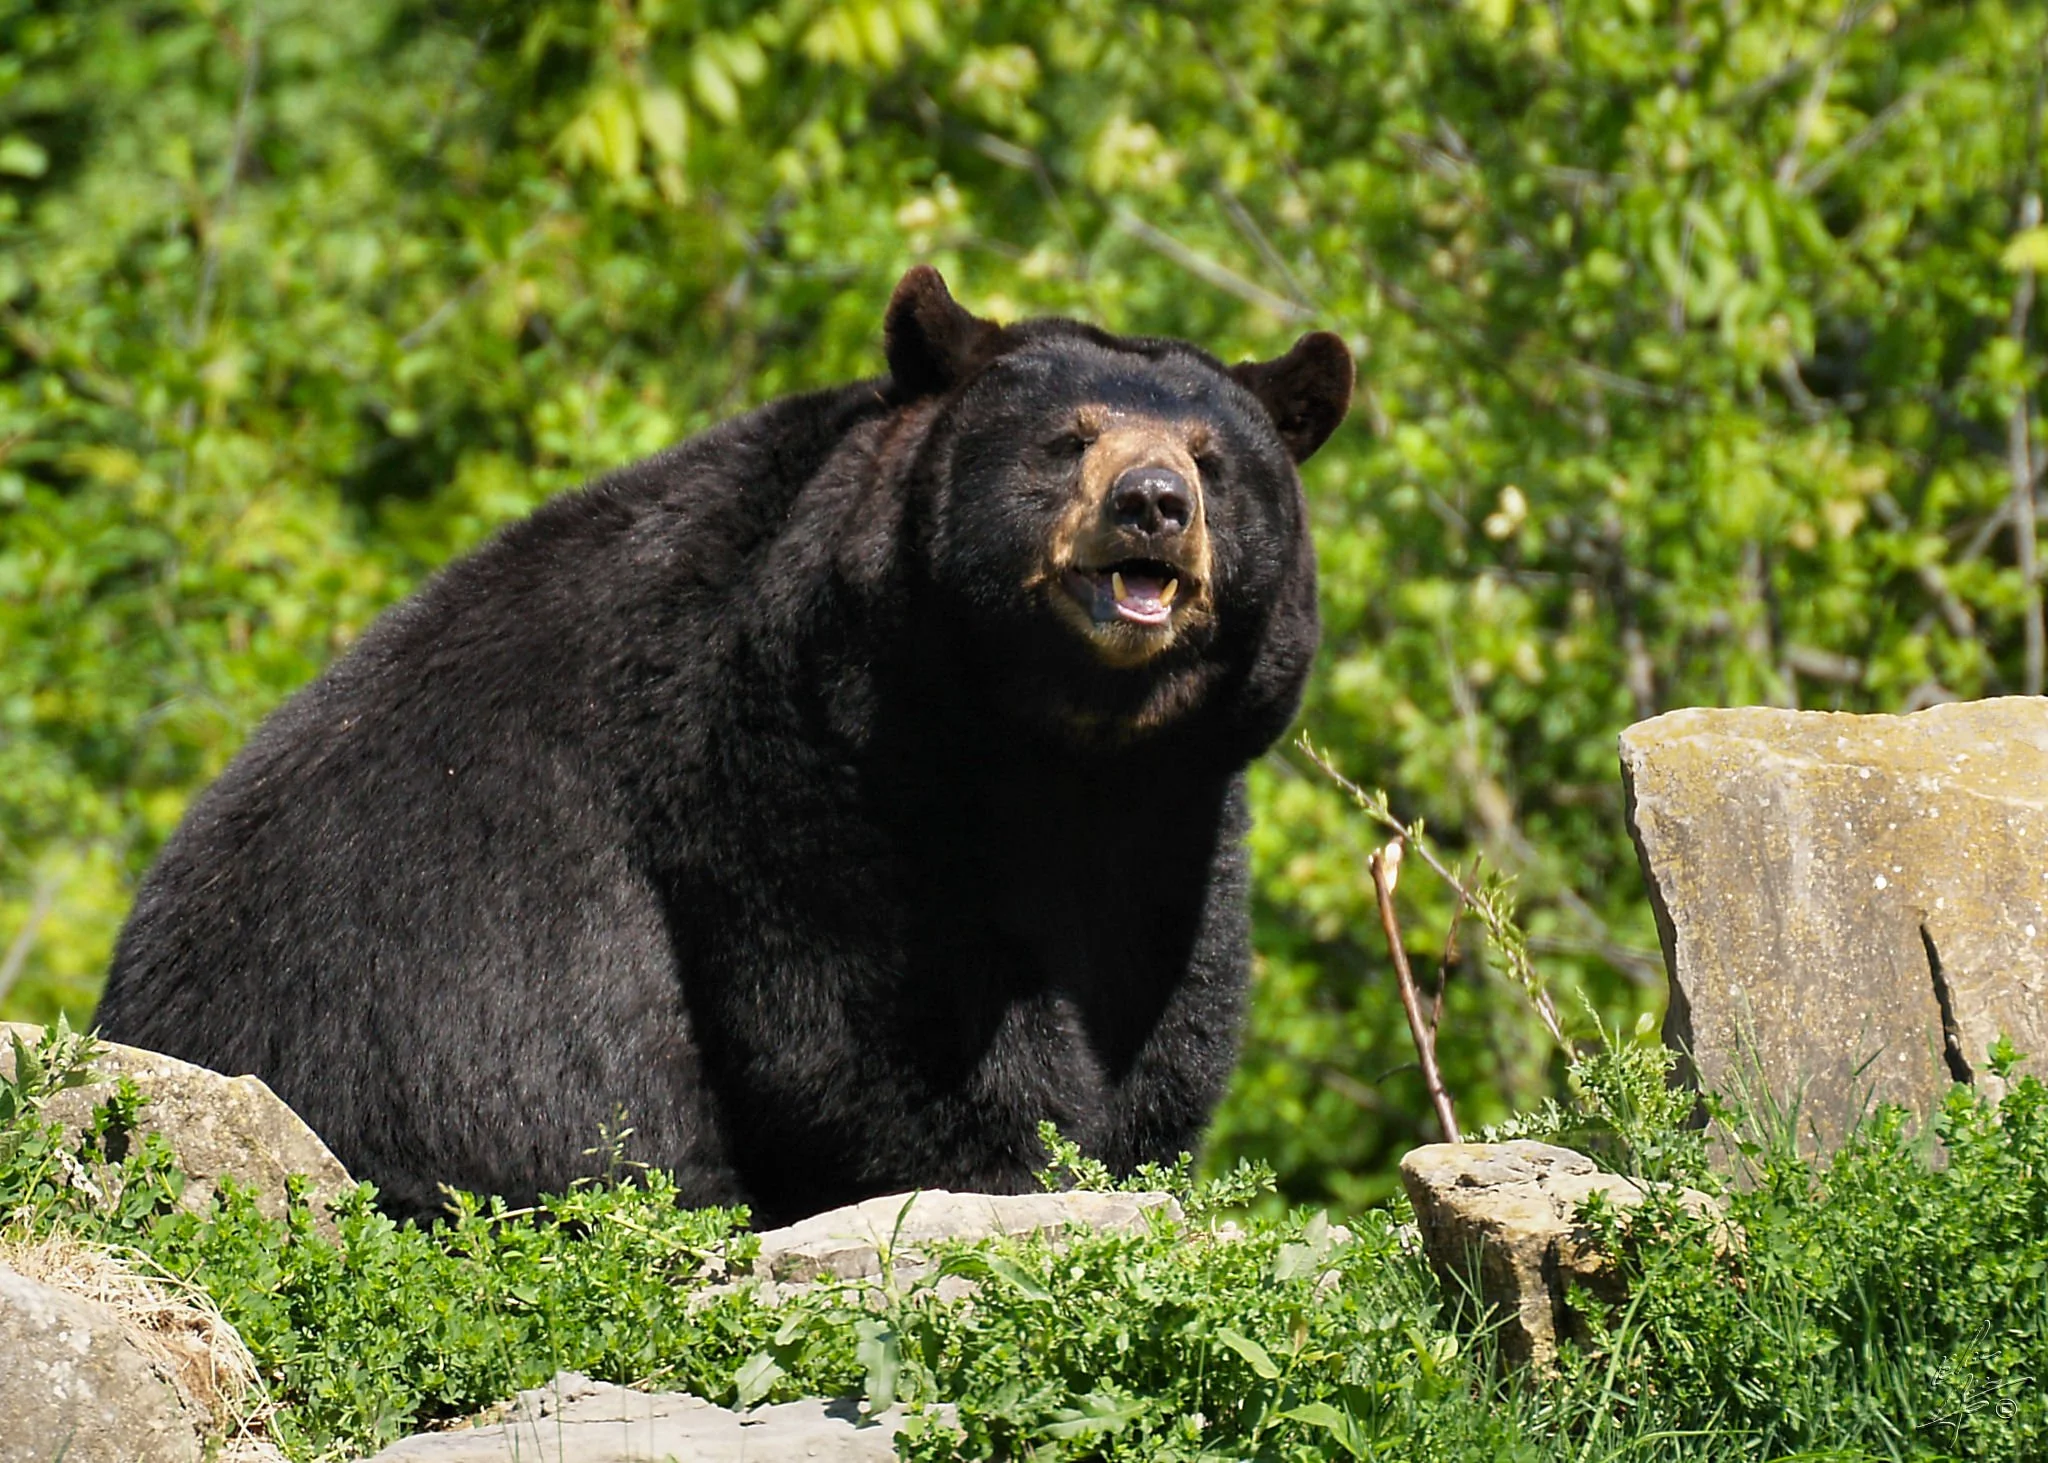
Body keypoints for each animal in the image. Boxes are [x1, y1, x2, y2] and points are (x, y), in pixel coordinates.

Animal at [94, 268, 1353, 1227]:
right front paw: (1008, 1160)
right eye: (1065, 440)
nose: (1152, 503)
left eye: (1212, 456)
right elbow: (869, 1008)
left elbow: (1160, 1006)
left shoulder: (1177, 812)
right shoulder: (797, 737)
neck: (1051, 744)